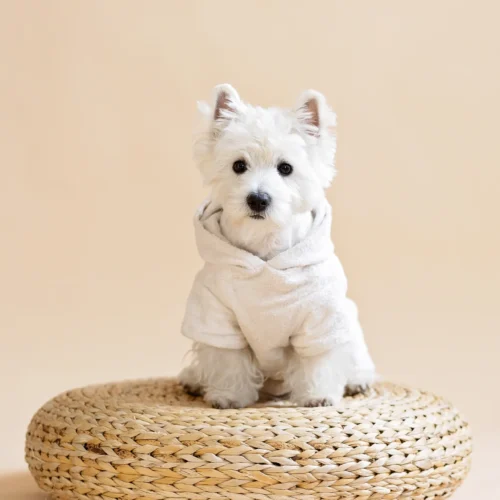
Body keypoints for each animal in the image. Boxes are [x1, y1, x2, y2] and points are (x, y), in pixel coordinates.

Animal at [178, 84, 374, 408]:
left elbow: (317, 360)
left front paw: (318, 395)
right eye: (238, 165)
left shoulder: (320, 319)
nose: (258, 199)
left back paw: (359, 381)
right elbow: (228, 360)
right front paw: (229, 396)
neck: (265, 246)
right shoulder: (216, 315)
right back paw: (192, 380)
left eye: (286, 168)